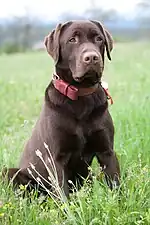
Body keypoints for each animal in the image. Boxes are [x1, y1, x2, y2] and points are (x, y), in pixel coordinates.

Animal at [3, 20, 120, 198]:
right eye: (72, 40)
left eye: (99, 38)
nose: (92, 57)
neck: (80, 95)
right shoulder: (56, 158)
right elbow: (62, 194)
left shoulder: (107, 151)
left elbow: (116, 185)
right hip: (9, 173)